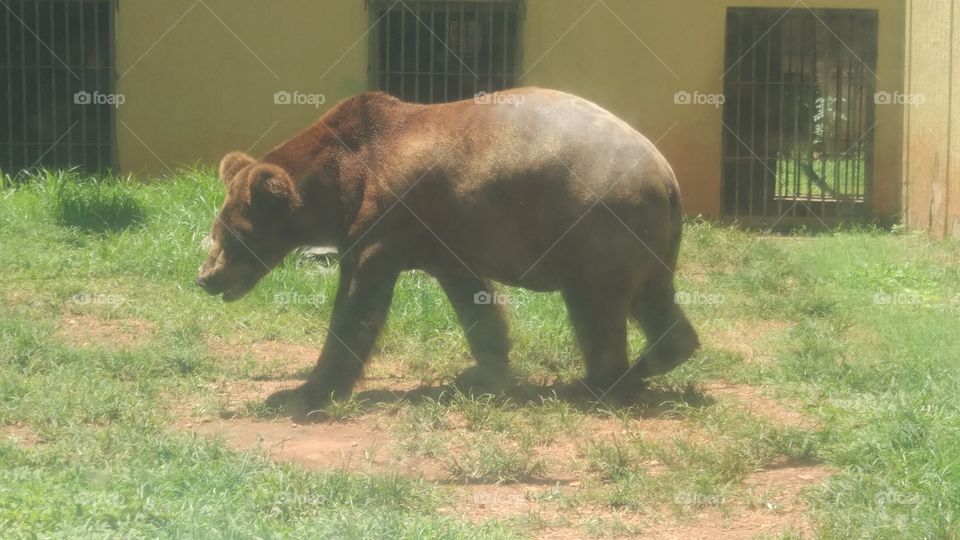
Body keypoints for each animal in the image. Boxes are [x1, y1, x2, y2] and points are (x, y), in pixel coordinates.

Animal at [196, 88, 699, 412]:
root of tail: (666, 174)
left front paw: (301, 392)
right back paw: (653, 360)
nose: (205, 278)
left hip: (593, 221)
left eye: (232, 235)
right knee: (652, 299)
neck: (341, 182)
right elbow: (472, 298)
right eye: (216, 230)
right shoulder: (444, 236)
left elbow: (358, 300)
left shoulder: (388, 219)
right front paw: (482, 373)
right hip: (646, 239)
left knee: (595, 305)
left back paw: (596, 382)